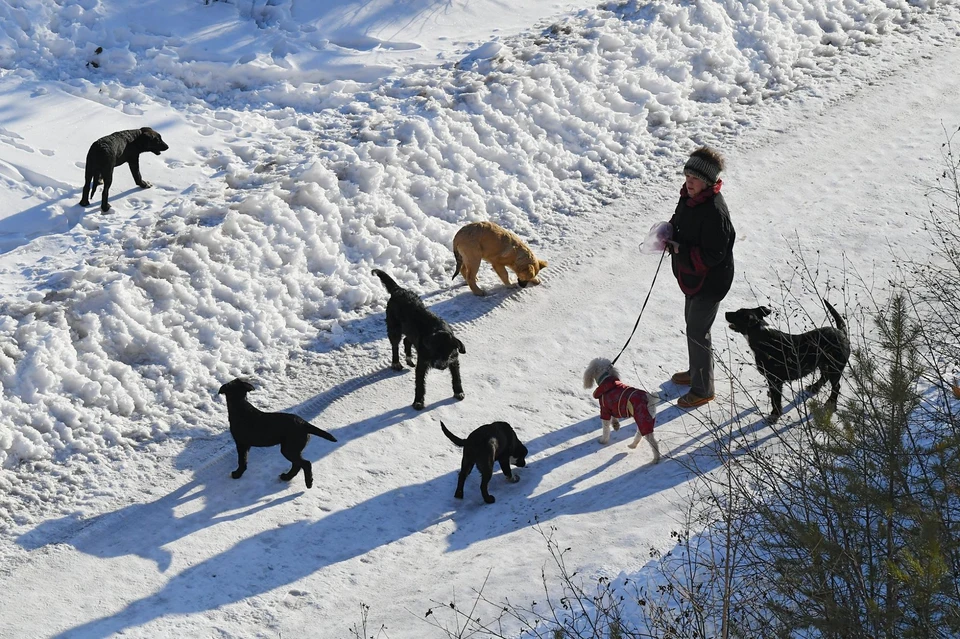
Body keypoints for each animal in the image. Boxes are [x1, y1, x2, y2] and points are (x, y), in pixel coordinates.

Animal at [372, 268, 464, 410]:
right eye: (434, 350)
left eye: (447, 352)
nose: (440, 366)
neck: (439, 330)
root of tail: (398, 290)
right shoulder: (423, 363)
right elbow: (420, 384)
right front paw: (418, 402)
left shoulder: (453, 359)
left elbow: (456, 377)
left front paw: (459, 392)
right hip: (394, 328)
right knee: (395, 345)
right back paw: (396, 363)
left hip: (410, 330)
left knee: (406, 340)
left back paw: (409, 359)